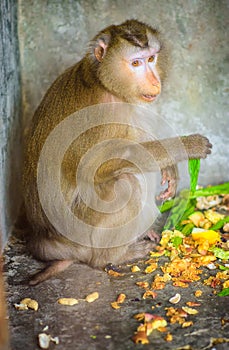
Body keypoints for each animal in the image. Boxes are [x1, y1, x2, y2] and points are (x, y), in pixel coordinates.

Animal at [22, 19, 212, 284]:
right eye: (135, 63)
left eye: (151, 58)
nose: (154, 82)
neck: (104, 81)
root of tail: (46, 242)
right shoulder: (107, 113)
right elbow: (101, 167)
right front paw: (187, 146)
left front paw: (170, 166)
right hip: (80, 233)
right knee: (125, 183)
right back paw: (113, 256)